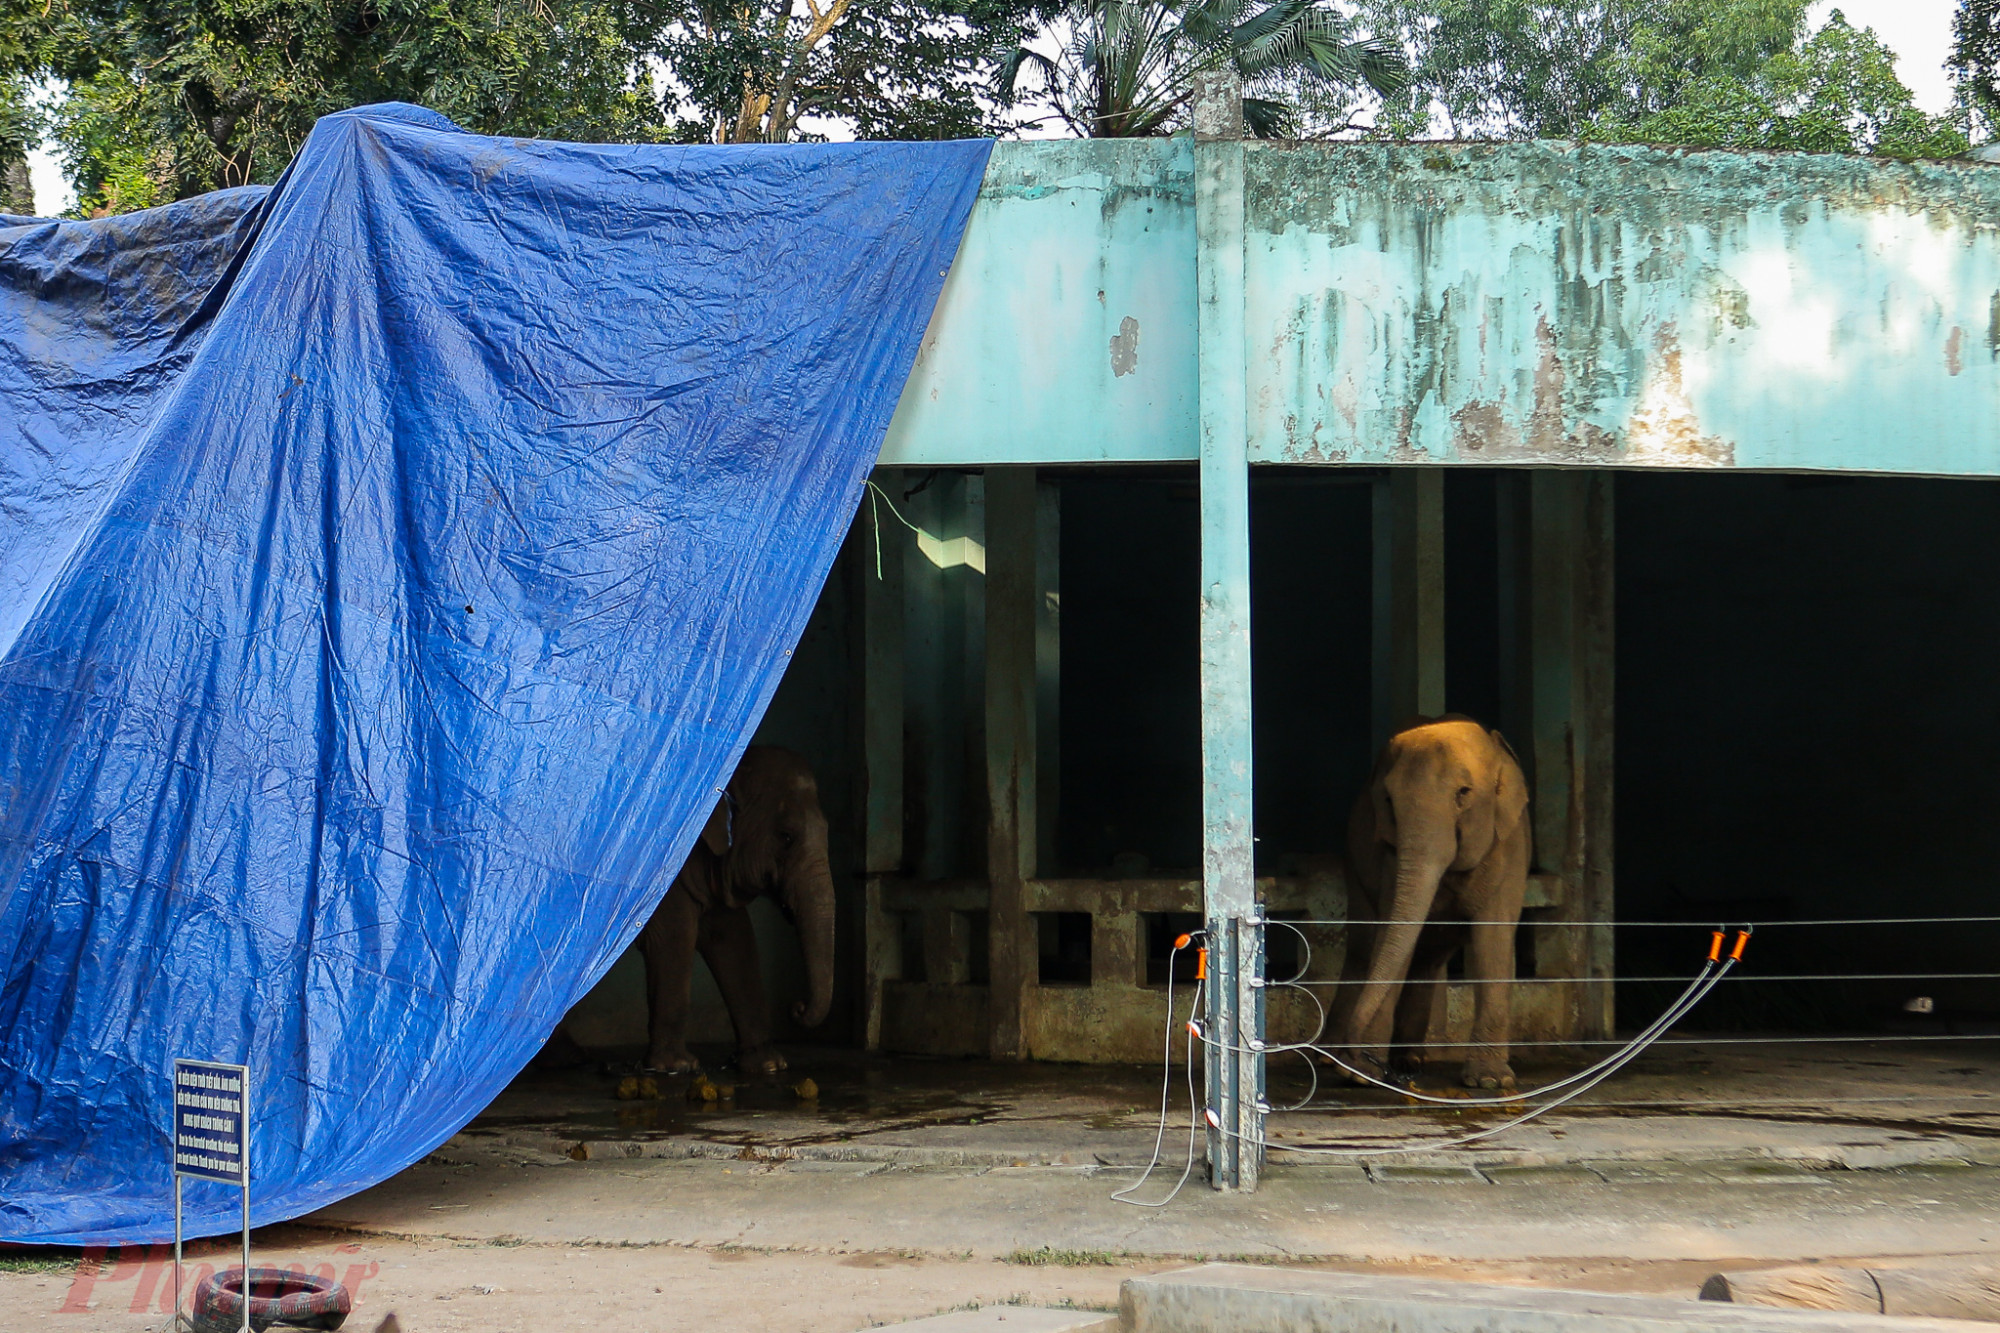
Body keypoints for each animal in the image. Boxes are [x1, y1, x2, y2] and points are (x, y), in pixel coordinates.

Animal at [636, 740, 832, 1072]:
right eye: (786, 837)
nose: (797, 1007)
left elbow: (732, 938)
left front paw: (769, 1064)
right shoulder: (664, 863)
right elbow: (674, 937)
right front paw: (678, 1066)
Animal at [1336, 712, 1536, 1088]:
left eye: (1464, 793)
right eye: (1388, 800)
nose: (1360, 1056)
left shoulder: (1509, 845)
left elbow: (1492, 940)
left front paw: (1490, 1083)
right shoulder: (1389, 855)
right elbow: (1389, 936)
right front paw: (1361, 1077)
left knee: (1426, 958)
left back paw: (1408, 1061)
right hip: (1353, 866)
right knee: (1364, 947)